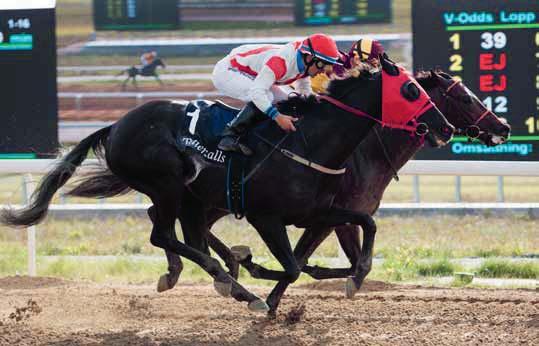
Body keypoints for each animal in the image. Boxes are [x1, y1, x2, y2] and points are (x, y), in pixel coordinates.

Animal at [0, 56, 456, 314]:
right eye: (411, 89)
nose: (444, 126)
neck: (309, 140)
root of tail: (116, 125)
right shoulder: (265, 216)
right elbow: (292, 265)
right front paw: (263, 283)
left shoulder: (317, 210)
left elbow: (365, 225)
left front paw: (355, 276)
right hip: (169, 183)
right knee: (164, 234)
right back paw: (234, 283)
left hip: (188, 195)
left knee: (178, 233)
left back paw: (208, 274)